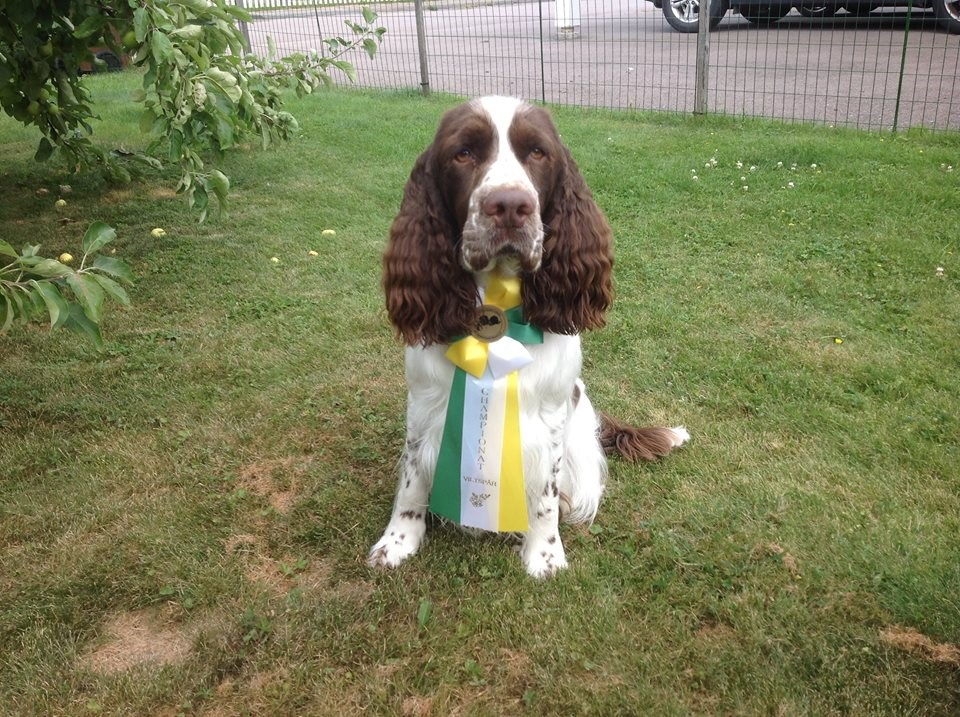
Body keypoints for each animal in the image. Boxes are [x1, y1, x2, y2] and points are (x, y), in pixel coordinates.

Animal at [364, 96, 688, 576]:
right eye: (463, 153)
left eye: (537, 152)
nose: (510, 206)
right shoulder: (423, 405)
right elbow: (411, 479)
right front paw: (398, 541)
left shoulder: (550, 418)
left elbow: (546, 496)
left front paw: (545, 553)